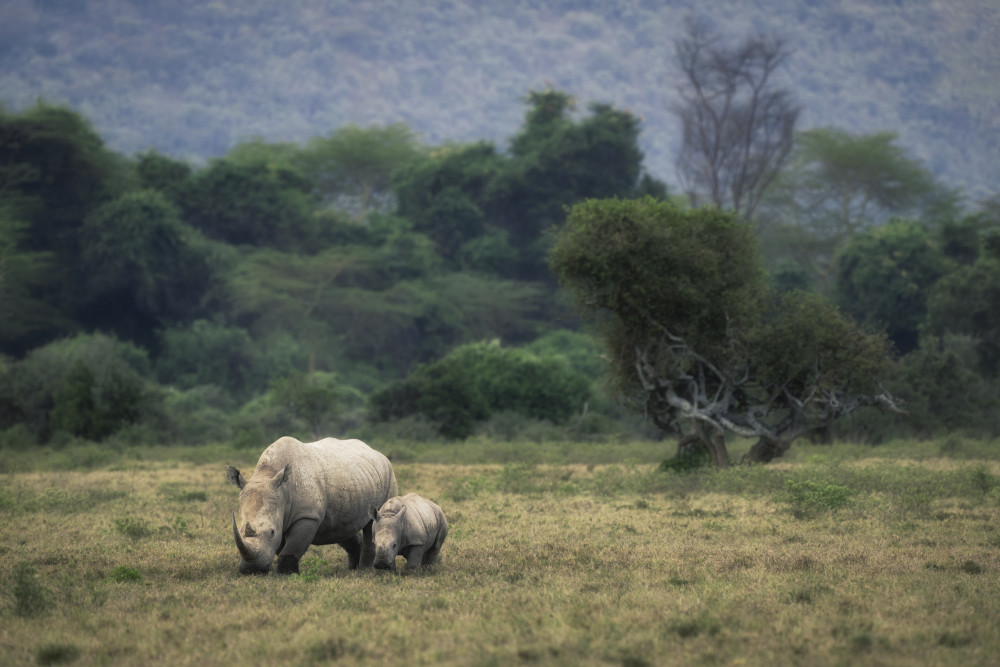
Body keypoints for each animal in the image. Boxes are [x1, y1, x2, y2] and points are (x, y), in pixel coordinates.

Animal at [227, 438, 398, 576]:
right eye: (239, 532)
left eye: (272, 532)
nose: (252, 569)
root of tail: (378, 453)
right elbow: (284, 547)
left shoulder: (307, 516)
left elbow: (291, 548)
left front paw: (285, 575)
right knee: (340, 528)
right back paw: (353, 569)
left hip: (389, 476)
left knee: (373, 523)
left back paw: (364, 571)